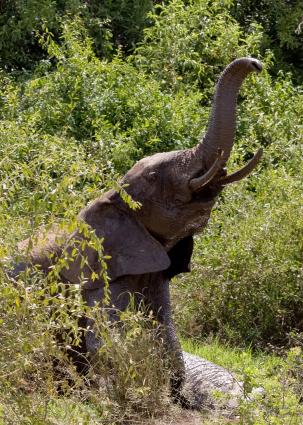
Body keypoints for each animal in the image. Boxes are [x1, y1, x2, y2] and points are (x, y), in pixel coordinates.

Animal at [11, 56, 264, 404]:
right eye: (155, 177)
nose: (256, 64)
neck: (110, 196)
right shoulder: (98, 273)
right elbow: (107, 341)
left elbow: (166, 332)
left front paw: (176, 393)